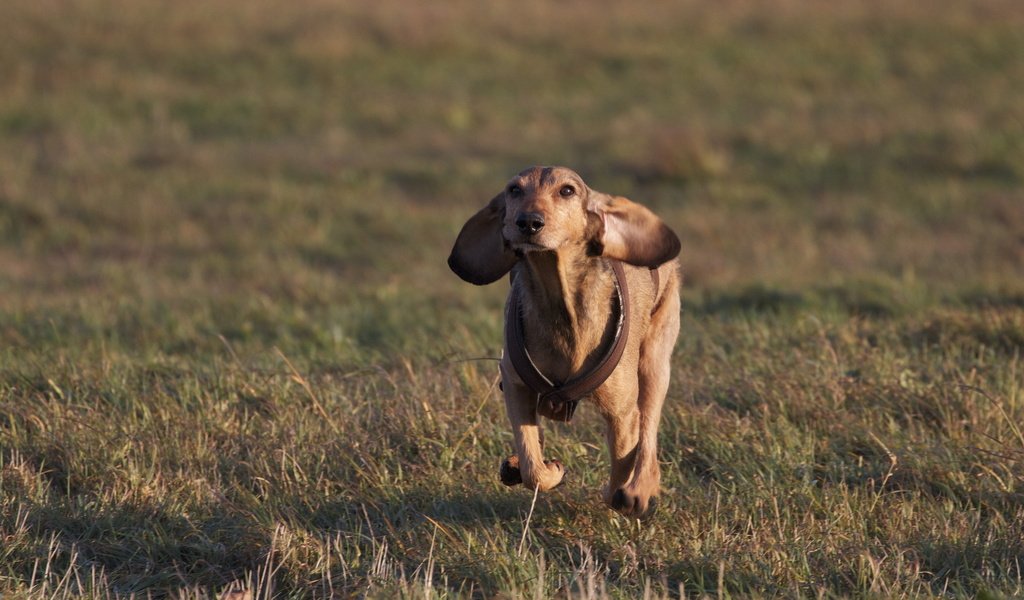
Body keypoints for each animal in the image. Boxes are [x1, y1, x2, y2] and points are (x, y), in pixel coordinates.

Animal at [448, 165, 679, 516]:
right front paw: (545, 468)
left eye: (567, 191)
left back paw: (640, 489)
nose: (529, 221)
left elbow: (621, 466)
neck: (559, 299)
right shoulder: (515, 385)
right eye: (514, 190)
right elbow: (532, 464)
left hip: (654, 363)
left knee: (649, 432)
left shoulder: (622, 413)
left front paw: (622, 492)